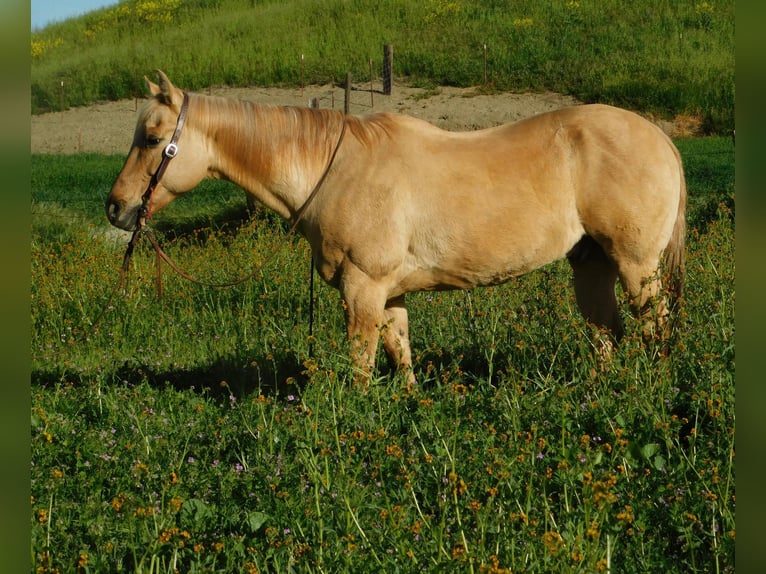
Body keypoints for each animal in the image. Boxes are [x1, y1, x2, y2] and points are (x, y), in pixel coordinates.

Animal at [105, 72, 688, 388]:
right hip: (592, 265)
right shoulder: (388, 293)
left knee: (654, 327)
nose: (117, 208)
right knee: (606, 332)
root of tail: (659, 137)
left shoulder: (362, 288)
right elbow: (400, 355)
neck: (333, 168)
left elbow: (362, 368)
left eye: (153, 138)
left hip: (637, 266)